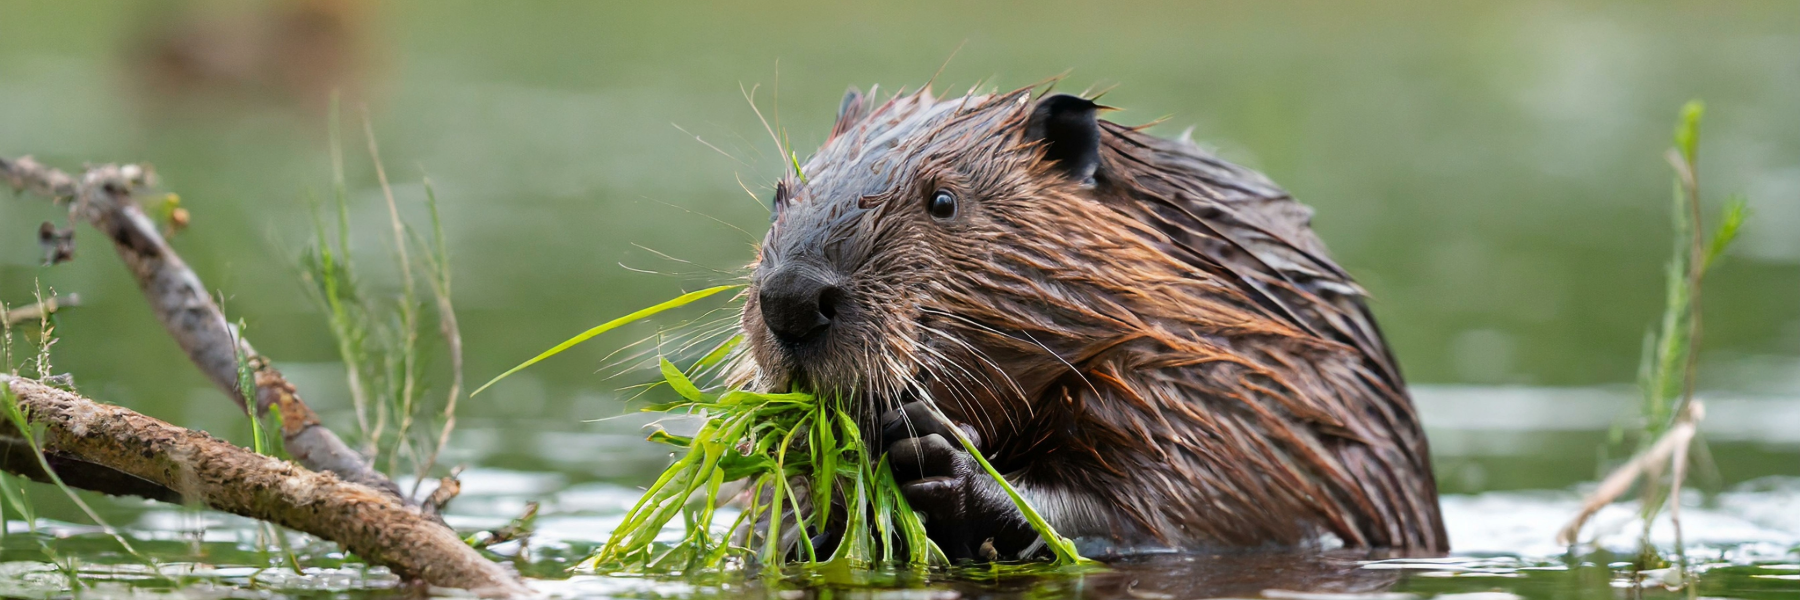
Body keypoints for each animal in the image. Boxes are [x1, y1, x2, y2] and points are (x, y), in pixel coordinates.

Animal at [734, 85, 1447, 562]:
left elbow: (1159, 514)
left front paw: (935, 452)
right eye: (778, 195)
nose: (793, 297)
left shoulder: (1226, 397)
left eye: (943, 201)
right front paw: (815, 490)